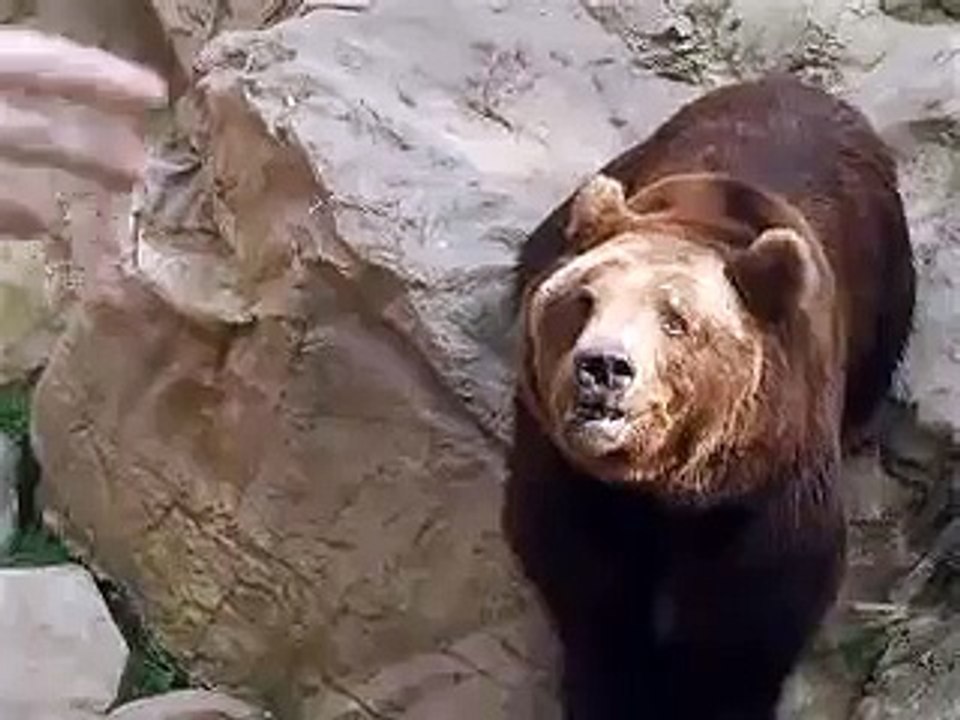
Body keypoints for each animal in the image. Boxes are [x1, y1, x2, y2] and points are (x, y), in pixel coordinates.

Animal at [503, 74, 915, 720]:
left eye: (674, 320)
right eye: (583, 299)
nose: (604, 367)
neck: (664, 483)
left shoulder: (771, 472)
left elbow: (754, 609)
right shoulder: (565, 465)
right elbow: (584, 575)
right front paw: (612, 685)